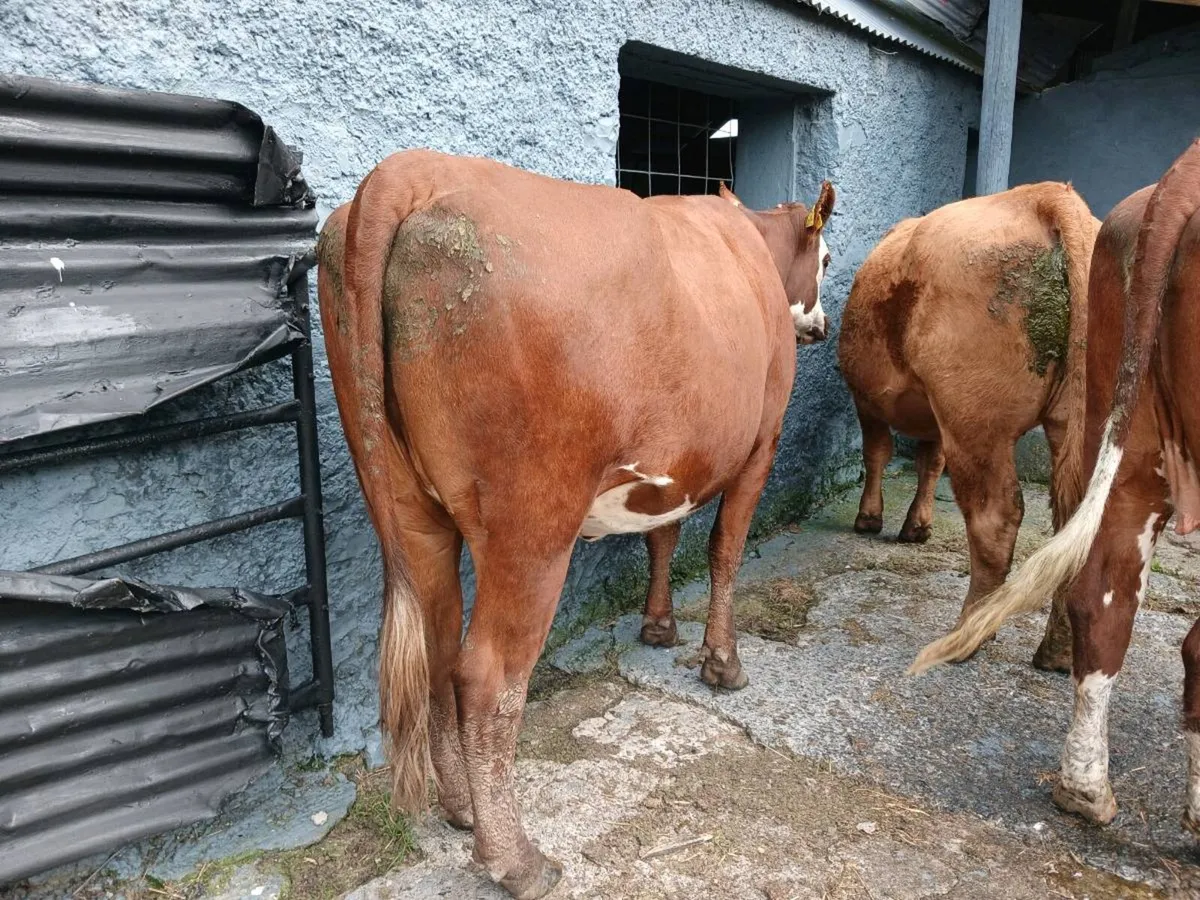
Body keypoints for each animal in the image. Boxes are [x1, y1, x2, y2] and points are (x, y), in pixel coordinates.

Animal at [316, 149, 836, 899]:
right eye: (825, 256)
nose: (822, 325)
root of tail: (413, 169)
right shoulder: (760, 443)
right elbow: (723, 549)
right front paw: (723, 662)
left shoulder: (671, 464)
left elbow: (662, 534)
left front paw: (657, 626)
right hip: (532, 525)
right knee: (488, 676)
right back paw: (516, 859)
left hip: (413, 511)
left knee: (439, 649)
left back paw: (461, 809)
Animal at [838, 183, 1100, 671]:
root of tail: (1045, 196)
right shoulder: (933, 415)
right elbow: (929, 462)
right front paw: (917, 526)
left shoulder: (869, 402)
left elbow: (878, 453)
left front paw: (869, 518)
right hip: (1076, 416)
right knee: (1076, 527)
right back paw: (1057, 651)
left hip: (974, 417)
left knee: (996, 517)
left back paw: (968, 633)